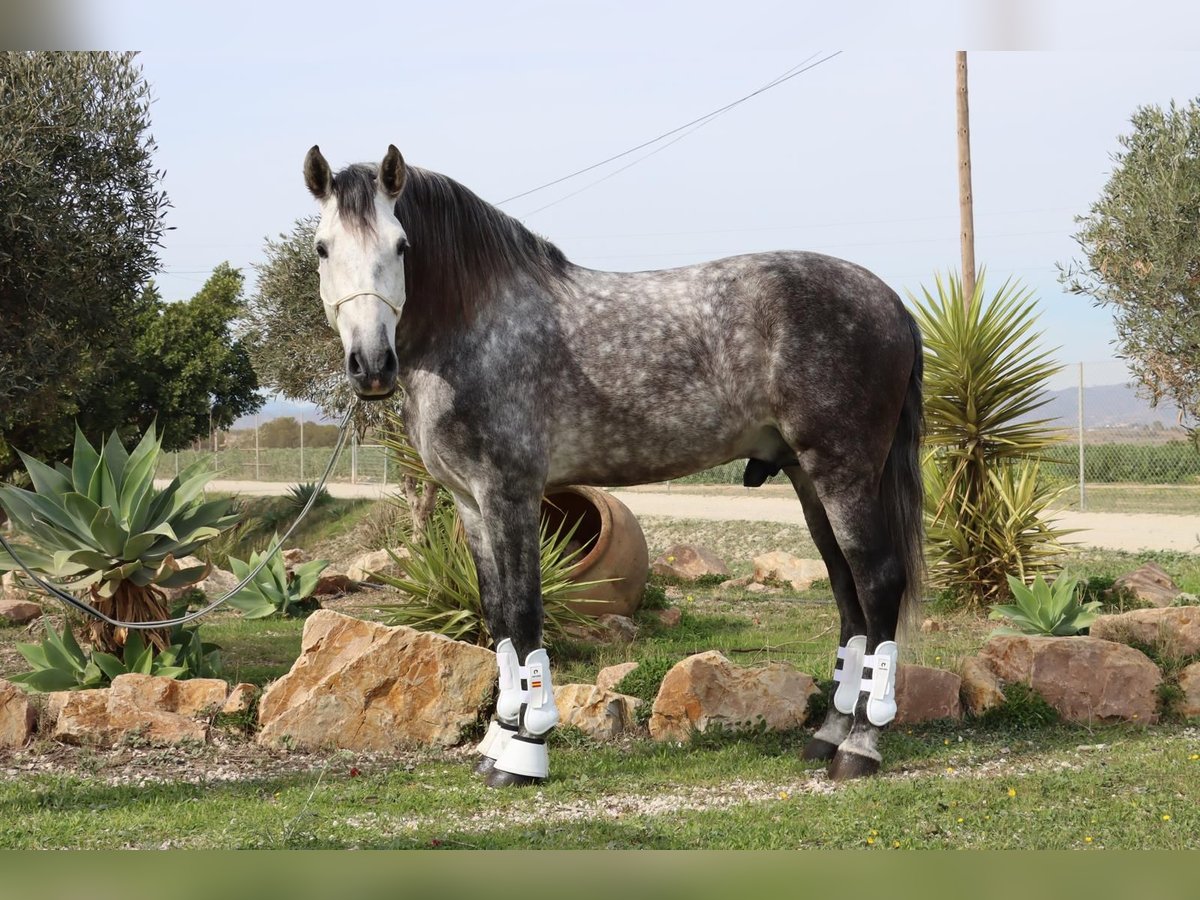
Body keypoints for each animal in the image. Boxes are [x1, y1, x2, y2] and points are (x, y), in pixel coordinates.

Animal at [304, 146, 921, 787]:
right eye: (323, 248)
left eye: (401, 245)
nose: (371, 365)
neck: (478, 324)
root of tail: (890, 301)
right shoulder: (470, 502)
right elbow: (498, 620)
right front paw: (496, 742)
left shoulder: (510, 493)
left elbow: (524, 614)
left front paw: (525, 751)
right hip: (807, 477)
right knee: (847, 591)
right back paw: (827, 736)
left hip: (844, 472)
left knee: (878, 582)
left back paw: (861, 746)